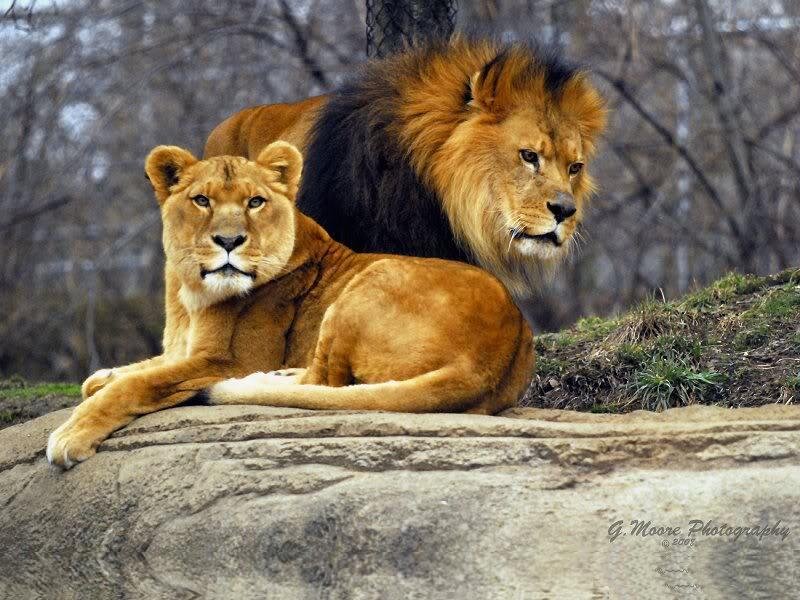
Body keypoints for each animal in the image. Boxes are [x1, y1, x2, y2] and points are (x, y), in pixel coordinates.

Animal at [46, 142, 534, 469]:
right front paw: (102, 377)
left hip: (368, 281)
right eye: (201, 200)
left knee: (327, 382)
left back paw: (266, 380)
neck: (191, 294)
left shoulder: (227, 359)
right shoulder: (180, 350)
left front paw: (72, 435)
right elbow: (127, 372)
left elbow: (139, 384)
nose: (228, 241)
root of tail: (495, 352)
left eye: (255, 202)